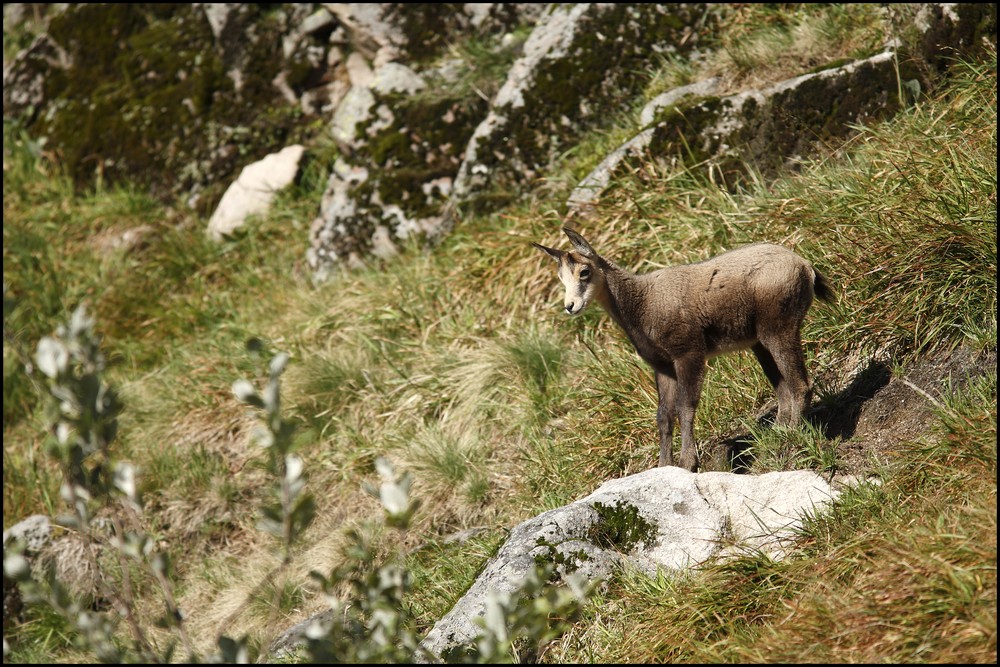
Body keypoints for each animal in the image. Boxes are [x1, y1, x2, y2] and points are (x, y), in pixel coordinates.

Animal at [532, 230, 836, 474]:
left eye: (584, 272)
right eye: (561, 277)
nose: (570, 306)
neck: (641, 303)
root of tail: (805, 266)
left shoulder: (688, 354)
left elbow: (685, 407)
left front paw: (687, 462)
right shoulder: (663, 366)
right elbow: (663, 416)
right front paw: (663, 465)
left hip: (779, 328)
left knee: (800, 383)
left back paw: (795, 433)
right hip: (759, 342)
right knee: (782, 387)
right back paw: (779, 432)